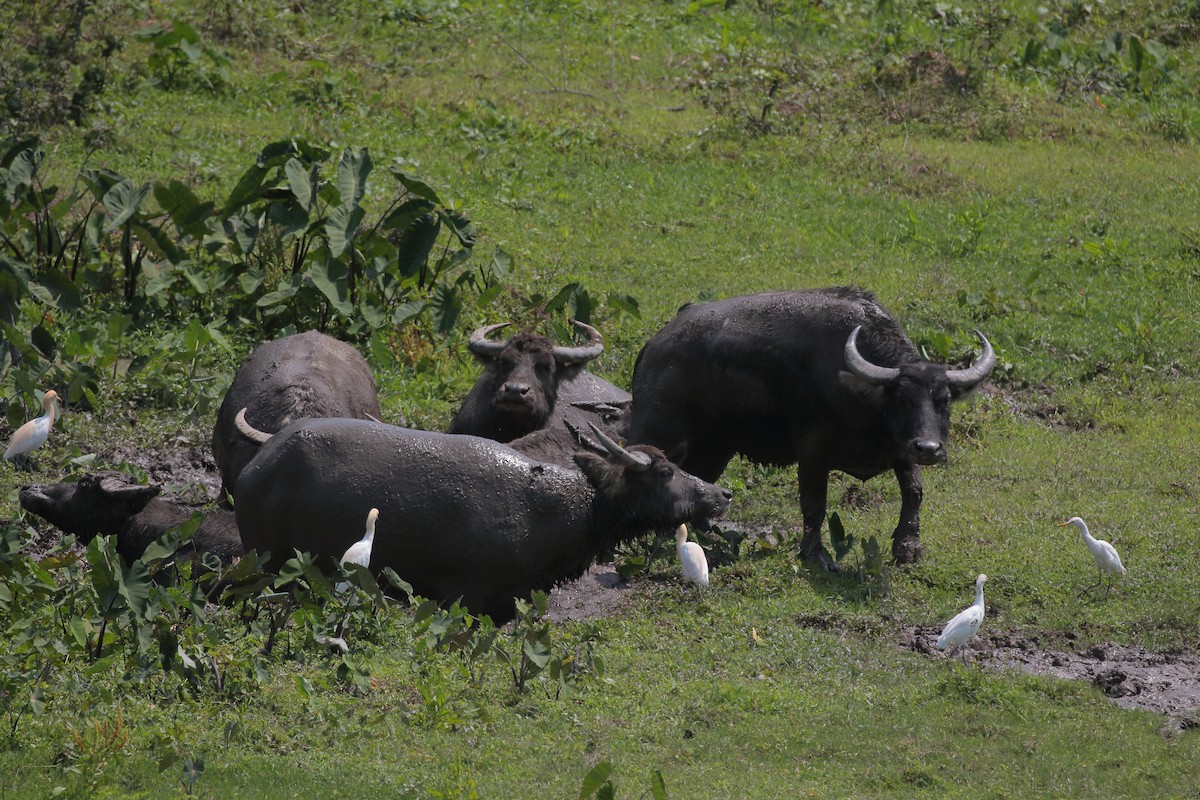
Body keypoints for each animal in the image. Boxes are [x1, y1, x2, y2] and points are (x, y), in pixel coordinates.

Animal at [229, 417, 724, 623]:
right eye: (664, 472)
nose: (722, 494)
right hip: (266, 562)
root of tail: (254, 466)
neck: (547, 511)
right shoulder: (463, 597)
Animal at [624, 287, 998, 568]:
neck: (859, 391)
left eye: (944, 400)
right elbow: (814, 503)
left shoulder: (902, 450)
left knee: (700, 478)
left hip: (716, 446)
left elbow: (914, 492)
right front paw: (816, 555)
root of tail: (653, 347)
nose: (929, 449)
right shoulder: (813, 450)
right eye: (903, 399)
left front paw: (908, 547)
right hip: (659, 432)